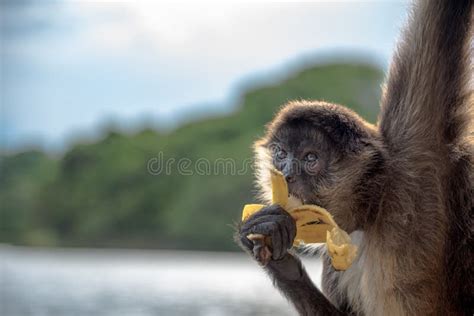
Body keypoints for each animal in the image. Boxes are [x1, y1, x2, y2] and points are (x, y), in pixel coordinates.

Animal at [235, 1, 472, 314]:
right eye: (281, 154)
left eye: (310, 159)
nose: (286, 174)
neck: (373, 212)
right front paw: (278, 257)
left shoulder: (414, 148)